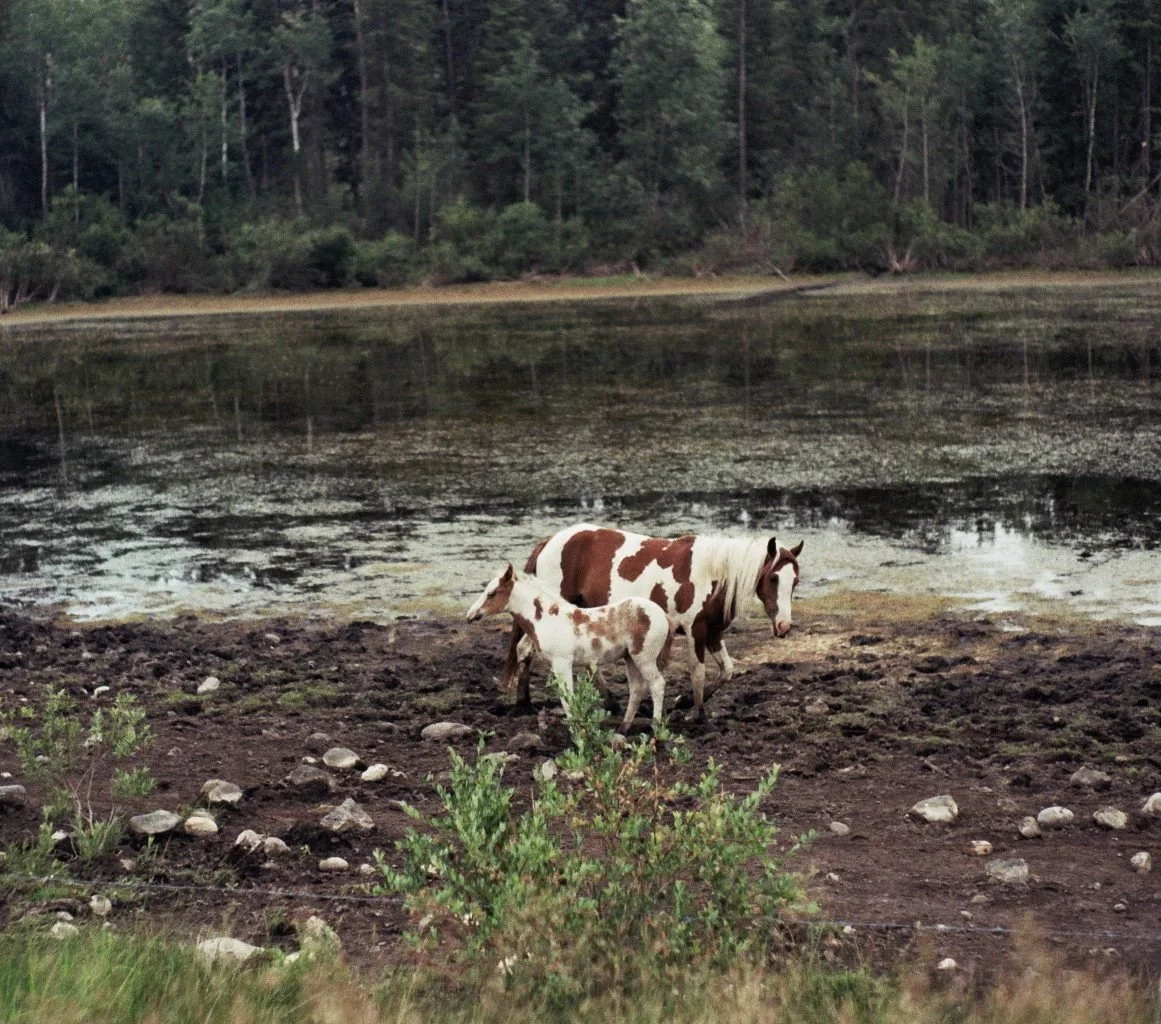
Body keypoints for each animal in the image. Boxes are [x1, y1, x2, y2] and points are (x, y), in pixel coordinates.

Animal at [467, 563, 673, 729]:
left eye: (491, 593)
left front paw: (576, 730)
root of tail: (663, 615)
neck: (546, 618)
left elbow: (567, 698)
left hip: (644, 658)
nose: (470, 615)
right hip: (630, 658)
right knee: (637, 690)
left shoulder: (562, 662)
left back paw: (655, 729)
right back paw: (624, 728)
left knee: (657, 685)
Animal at [500, 524, 802, 718]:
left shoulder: (713, 633)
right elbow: (698, 672)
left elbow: (726, 671)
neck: (711, 573)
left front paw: (684, 702)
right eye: (773, 578)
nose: (784, 626)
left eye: (795, 580)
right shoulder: (695, 631)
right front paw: (697, 714)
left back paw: (610, 703)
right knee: (525, 649)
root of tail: (550, 541)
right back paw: (523, 704)